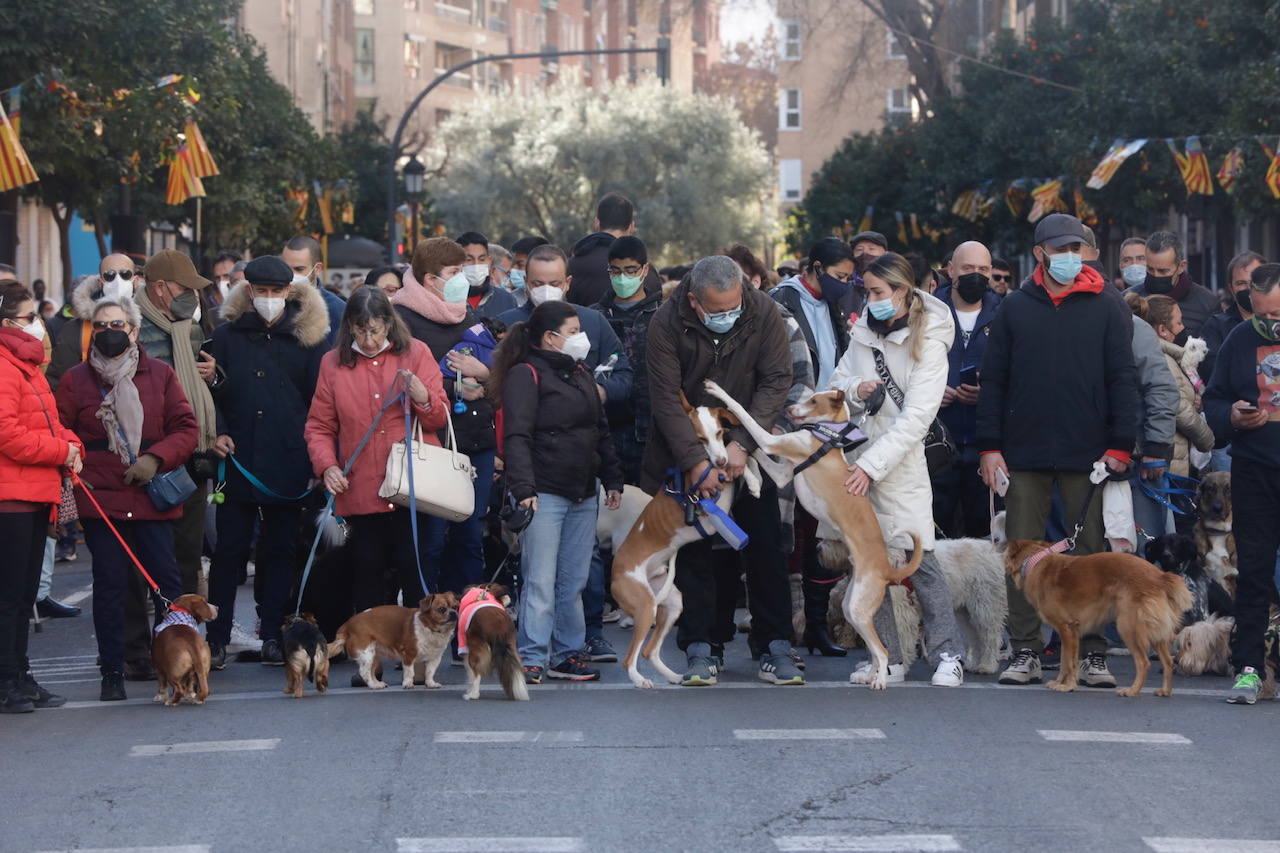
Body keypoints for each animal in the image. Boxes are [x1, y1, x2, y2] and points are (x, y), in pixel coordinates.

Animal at [325, 594, 460, 686]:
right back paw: (373, 686)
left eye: (455, 607)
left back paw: (377, 683)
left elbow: (430, 672)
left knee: (371, 672)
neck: (430, 628)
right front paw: (408, 684)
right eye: (441, 609)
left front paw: (430, 684)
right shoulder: (408, 655)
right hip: (366, 653)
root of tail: (347, 624)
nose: (453, 613)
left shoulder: (435, 658)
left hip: (375, 656)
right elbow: (409, 672)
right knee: (364, 672)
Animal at [611, 394, 757, 686]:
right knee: (630, 657)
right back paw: (639, 680)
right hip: (644, 606)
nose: (721, 460)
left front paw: (753, 479)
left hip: (671, 603)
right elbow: (725, 478)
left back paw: (675, 676)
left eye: (720, 433)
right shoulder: (712, 517)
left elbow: (739, 467)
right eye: (699, 439)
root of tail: (613, 573)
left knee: (649, 651)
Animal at [701, 381, 921, 686]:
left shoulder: (773, 444)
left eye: (815, 401)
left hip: (858, 608)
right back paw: (867, 677)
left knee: (882, 650)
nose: (790, 409)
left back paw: (879, 681)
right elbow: (754, 455)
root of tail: (888, 569)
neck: (827, 434)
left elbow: (747, 418)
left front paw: (718, 392)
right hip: (852, 607)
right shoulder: (783, 473)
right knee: (876, 650)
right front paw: (751, 479)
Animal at [1003, 540, 1192, 696]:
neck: (1035, 561)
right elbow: (1065, 660)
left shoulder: (1067, 628)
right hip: (1154, 631)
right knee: (1168, 662)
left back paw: (1133, 691)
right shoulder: (1069, 633)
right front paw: (1059, 682)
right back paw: (1165, 690)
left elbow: (1069, 663)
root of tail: (1161, 577)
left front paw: (1068, 686)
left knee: (1144, 663)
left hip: (1128, 627)